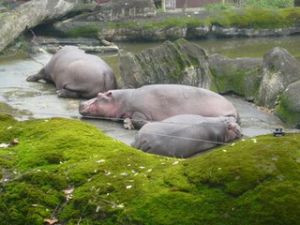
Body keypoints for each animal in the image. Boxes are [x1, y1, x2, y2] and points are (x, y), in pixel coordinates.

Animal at [79, 84, 239, 128]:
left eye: (99, 95)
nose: (81, 103)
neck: (121, 100)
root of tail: (233, 107)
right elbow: (128, 119)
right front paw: (127, 124)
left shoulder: (140, 111)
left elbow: (139, 119)